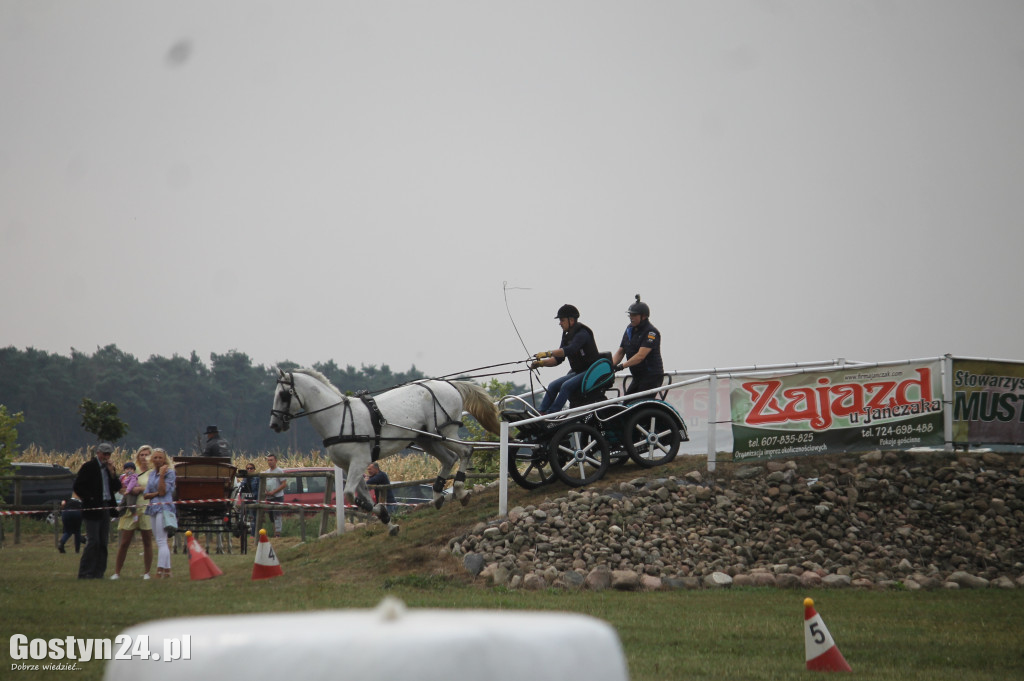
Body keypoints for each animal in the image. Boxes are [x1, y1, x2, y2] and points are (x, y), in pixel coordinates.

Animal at [268, 368, 499, 532]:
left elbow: (350, 495)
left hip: (445, 431)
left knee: (466, 451)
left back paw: (460, 490)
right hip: (427, 439)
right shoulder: (349, 466)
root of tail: (448, 384)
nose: (275, 425)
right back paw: (438, 496)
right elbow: (362, 496)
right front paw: (388, 521)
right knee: (449, 458)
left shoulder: (359, 461)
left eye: (284, 395)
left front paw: (383, 514)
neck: (339, 418)